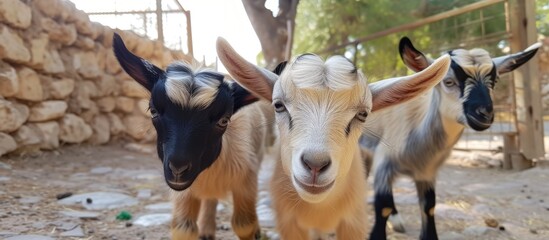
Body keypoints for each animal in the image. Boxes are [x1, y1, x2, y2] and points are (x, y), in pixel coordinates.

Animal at [113, 32, 274, 239]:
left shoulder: (246, 178)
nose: (178, 169)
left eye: (224, 120)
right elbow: (183, 228)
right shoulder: (183, 190)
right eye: (153, 111)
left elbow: (244, 225)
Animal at [362, 36, 536, 240]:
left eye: (495, 81)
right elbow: (383, 206)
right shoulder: (385, 161)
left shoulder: (427, 171)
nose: (484, 113)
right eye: (448, 81)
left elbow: (429, 206)